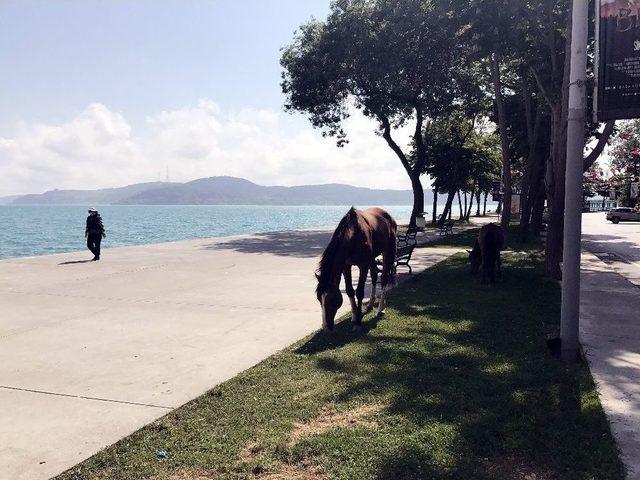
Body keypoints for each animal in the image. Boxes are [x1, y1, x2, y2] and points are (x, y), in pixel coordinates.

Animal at [316, 206, 396, 334]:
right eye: (319, 299)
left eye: (330, 299)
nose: (326, 327)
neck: (353, 235)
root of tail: (388, 216)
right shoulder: (346, 266)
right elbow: (349, 290)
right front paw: (354, 316)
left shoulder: (363, 266)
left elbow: (359, 292)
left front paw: (358, 323)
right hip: (372, 258)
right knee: (374, 275)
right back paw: (371, 304)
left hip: (388, 251)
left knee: (384, 278)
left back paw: (380, 309)